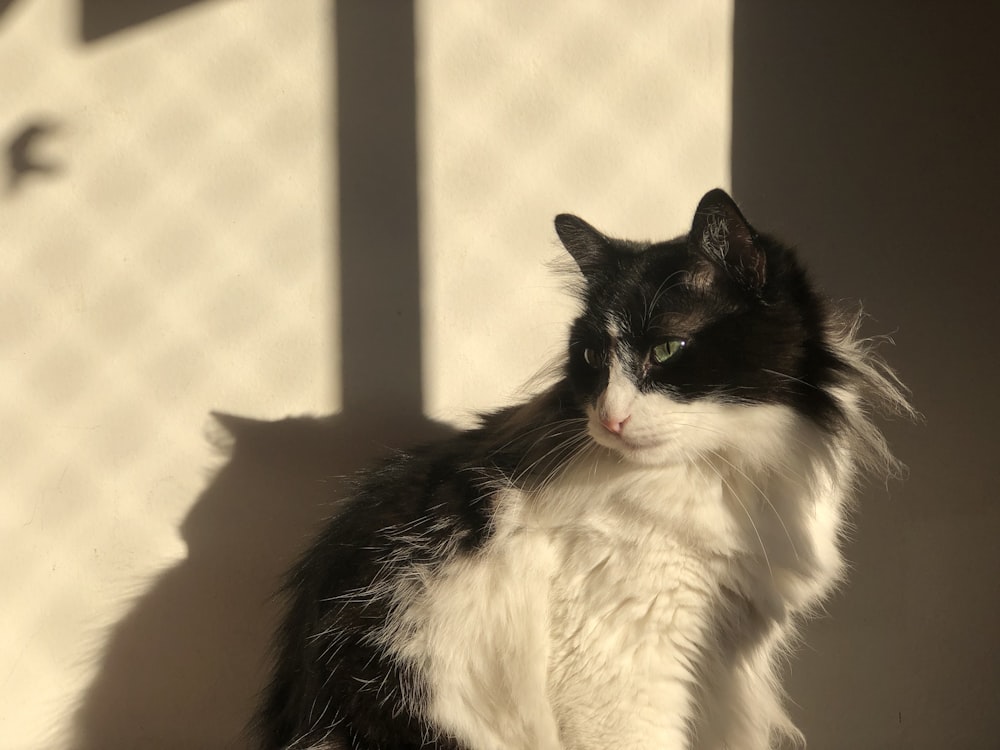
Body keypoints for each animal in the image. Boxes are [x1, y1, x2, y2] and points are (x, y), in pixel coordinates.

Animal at [252, 191, 916, 748]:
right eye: (594, 356)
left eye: (666, 350)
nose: (610, 418)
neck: (721, 476)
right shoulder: (625, 670)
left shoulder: (729, 668)